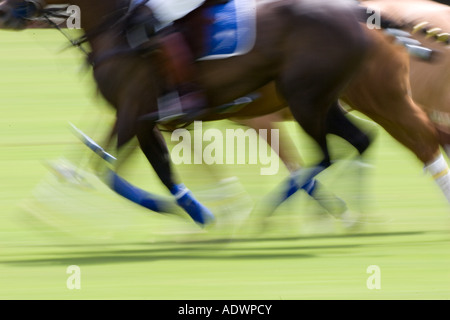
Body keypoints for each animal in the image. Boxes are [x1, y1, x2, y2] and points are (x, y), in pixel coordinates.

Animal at [0, 0, 446, 228]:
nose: (4, 10)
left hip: (324, 98)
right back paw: (346, 213)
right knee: (361, 140)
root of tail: (359, 13)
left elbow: (110, 168)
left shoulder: (136, 110)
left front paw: (198, 213)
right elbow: (119, 162)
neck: (120, 29)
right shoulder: (146, 115)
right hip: (324, 99)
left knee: (396, 142)